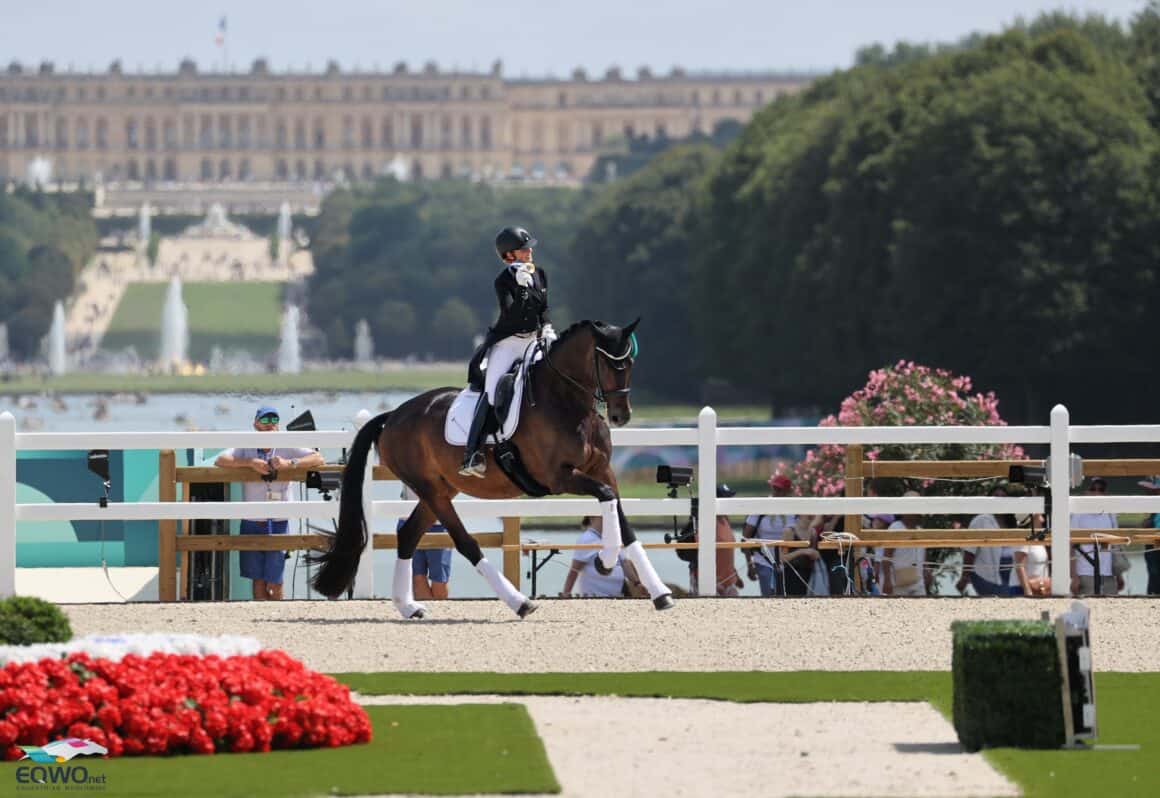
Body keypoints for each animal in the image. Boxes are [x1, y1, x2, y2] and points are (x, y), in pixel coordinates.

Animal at [308, 317, 677, 617]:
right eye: (608, 362)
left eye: (630, 362)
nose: (621, 416)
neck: (565, 403)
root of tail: (394, 416)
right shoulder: (558, 477)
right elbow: (604, 497)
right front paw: (605, 559)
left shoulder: (603, 470)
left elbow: (621, 518)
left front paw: (660, 593)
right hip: (432, 490)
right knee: (465, 543)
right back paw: (519, 602)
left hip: (440, 489)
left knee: (409, 534)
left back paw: (409, 607)